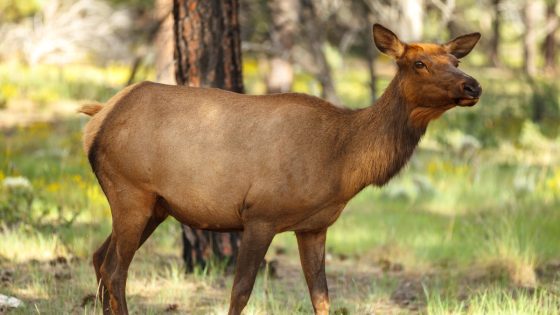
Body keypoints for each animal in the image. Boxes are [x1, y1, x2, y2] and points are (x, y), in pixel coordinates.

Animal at [80, 25, 482, 315]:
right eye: (419, 63)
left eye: (456, 61)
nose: (473, 85)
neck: (342, 161)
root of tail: (98, 117)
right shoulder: (260, 213)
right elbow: (240, 292)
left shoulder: (314, 226)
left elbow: (321, 296)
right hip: (130, 191)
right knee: (116, 270)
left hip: (155, 206)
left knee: (100, 258)